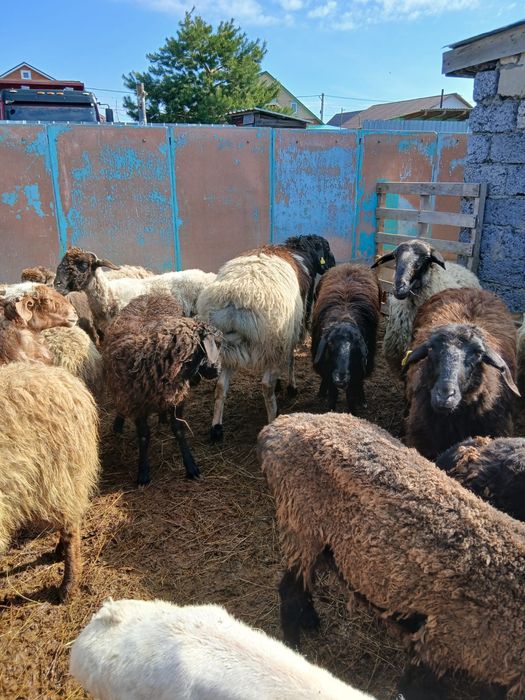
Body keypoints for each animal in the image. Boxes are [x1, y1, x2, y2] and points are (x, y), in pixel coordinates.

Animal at [103, 293, 221, 486]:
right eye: (216, 344)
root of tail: (154, 293)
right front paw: (143, 473)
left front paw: (191, 466)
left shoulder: (177, 398)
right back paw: (118, 424)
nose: (217, 370)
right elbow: (144, 435)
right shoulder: (136, 402)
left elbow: (179, 430)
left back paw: (162, 418)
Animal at [197, 235, 335, 441]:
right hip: (274, 341)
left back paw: (216, 429)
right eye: (326, 247)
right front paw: (291, 388)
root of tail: (236, 301)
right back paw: (273, 418)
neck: (298, 248)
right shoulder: (294, 329)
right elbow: (291, 359)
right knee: (266, 386)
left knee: (221, 387)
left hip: (225, 351)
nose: (332, 265)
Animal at [257, 411, 525, 697]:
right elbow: (414, 687)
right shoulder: (439, 645)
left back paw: (310, 621)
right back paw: (294, 647)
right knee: (290, 591)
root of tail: (279, 426)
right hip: (301, 525)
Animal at [311, 263, 381, 412]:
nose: (340, 380)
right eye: (330, 344)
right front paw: (330, 410)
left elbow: (351, 393)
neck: (344, 314)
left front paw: (352, 411)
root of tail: (351, 264)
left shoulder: (357, 365)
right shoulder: (327, 365)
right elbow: (332, 393)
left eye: (355, 346)